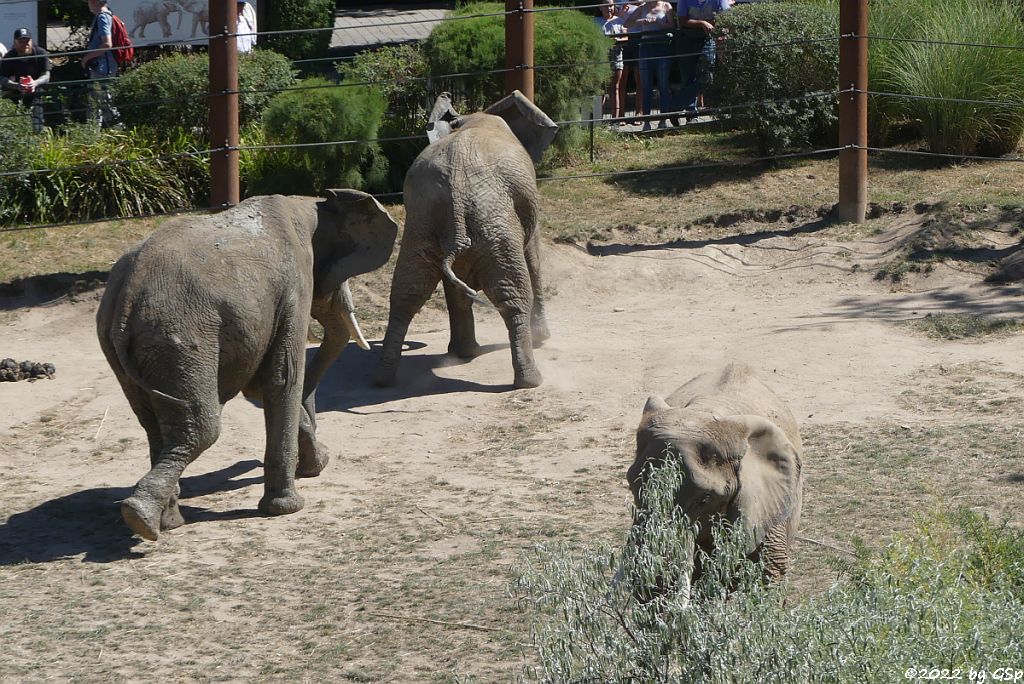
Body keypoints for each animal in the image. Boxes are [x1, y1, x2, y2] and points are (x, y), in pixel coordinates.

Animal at [96, 191, 397, 540]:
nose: (321, 458)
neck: (311, 203)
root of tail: (125, 297)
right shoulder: (294, 288)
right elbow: (284, 378)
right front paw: (288, 507)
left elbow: (262, 386)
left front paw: (318, 463)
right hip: (178, 336)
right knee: (202, 428)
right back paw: (140, 518)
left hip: (129, 349)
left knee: (154, 422)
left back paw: (165, 522)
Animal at [370, 91, 557, 389]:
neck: (474, 117)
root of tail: (456, 194)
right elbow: (534, 258)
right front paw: (542, 339)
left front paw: (461, 354)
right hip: (494, 222)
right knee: (513, 295)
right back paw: (531, 381)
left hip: (423, 224)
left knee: (407, 292)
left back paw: (383, 379)